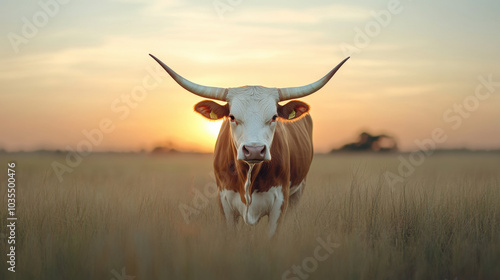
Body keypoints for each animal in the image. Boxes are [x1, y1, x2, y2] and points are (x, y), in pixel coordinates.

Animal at [150, 53, 350, 236]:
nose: (254, 150)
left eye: (274, 117)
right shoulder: (224, 202)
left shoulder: (280, 202)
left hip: (298, 191)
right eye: (232, 117)